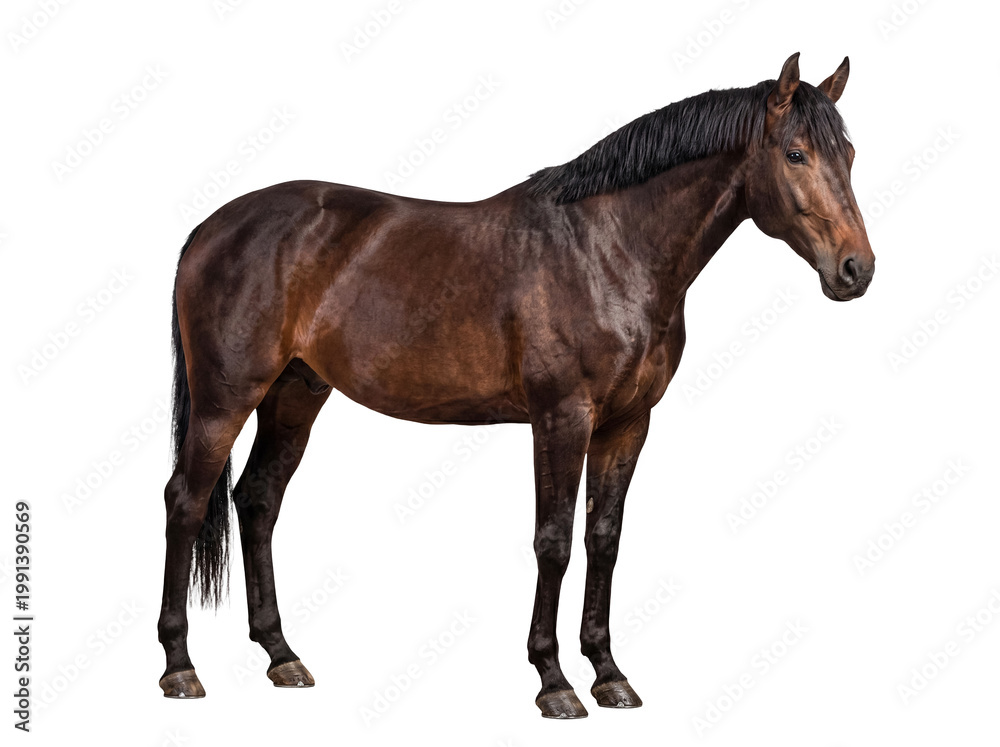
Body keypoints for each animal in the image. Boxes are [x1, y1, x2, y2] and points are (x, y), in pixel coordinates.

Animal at [157, 52, 874, 717]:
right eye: (795, 153)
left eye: (850, 154)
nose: (856, 269)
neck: (608, 249)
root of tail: (208, 229)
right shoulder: (561, 416)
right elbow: (552, 541)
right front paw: (553, 681)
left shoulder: (627, 423)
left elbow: (603, 539)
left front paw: (608, 673)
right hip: (226, 399)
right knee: (186, 501)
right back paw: (179, 667)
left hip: (295, 393)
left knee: (257, 500)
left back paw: (282, 655)